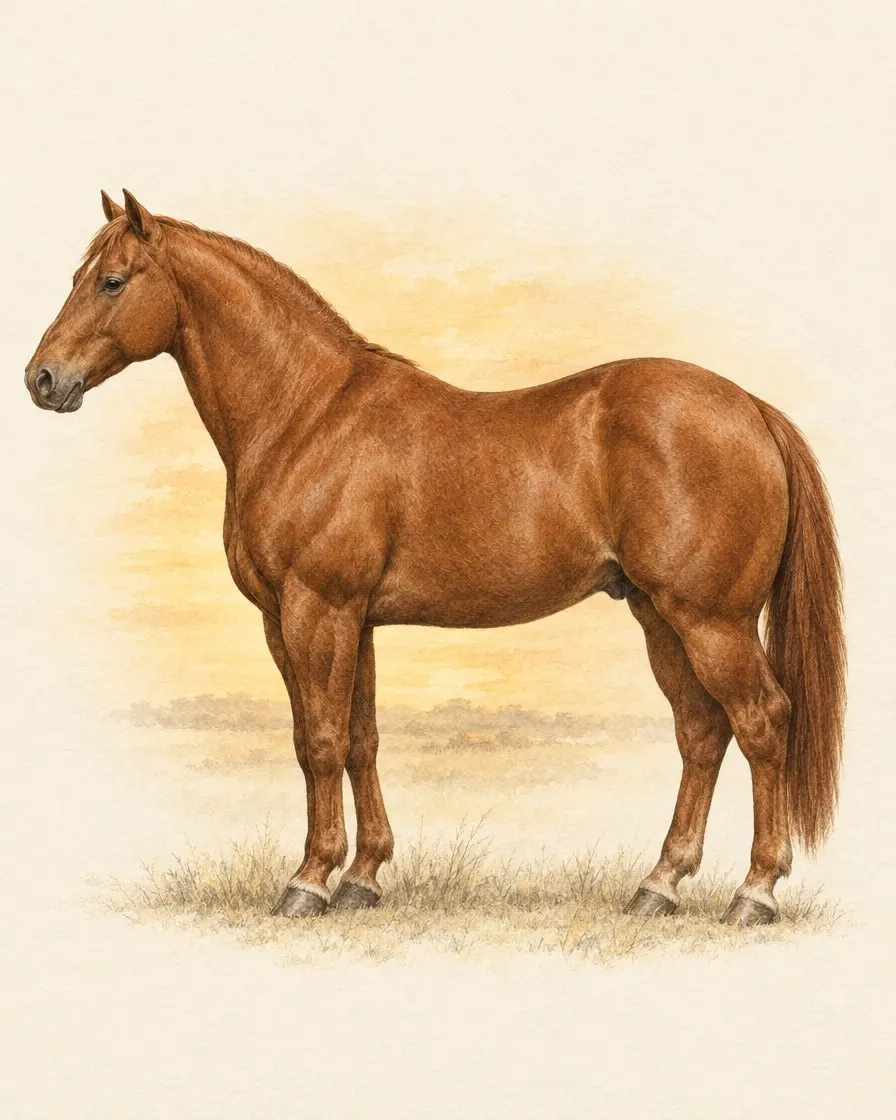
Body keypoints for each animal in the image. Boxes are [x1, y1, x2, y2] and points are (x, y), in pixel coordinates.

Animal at [25, 191, 846, 926]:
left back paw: (754, 893)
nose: (42, 379)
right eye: (79, 275)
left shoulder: (314, 609)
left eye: (112, 281)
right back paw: (659, 887)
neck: (307, 415)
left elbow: (318, 742)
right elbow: (359, 740)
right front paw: (363, 877)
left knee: (761, 722)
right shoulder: (347, 620)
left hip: (712, 620)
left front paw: (309, 881)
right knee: (702, 733)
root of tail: (750, 408)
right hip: (658, 615)